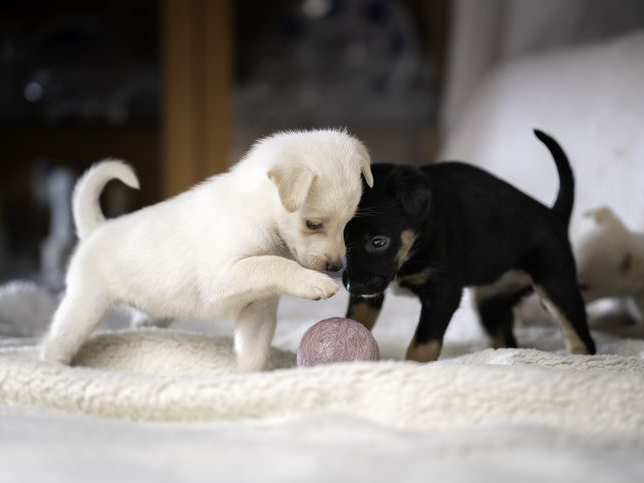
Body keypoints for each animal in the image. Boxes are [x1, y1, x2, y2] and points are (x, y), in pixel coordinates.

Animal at [40, 129, 372, 370]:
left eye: (347, 224)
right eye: (312, 224)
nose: (336, 268)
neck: (257, 211)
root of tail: (96, 230)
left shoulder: (258, 308)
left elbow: (253, 352)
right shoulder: (222, 277)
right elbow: (274, 264)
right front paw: (314, 282)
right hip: (85, 306)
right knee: (54, 343)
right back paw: (54, 369)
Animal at [344, 130, 596, 362]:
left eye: (379, 242)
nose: (352, 286)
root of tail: (554, 215)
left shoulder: (443, 292)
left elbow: (422, 344)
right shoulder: (367, 296)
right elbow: (355, 320)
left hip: (555, 283)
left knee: (581, 336)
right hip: (490, 304)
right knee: (507, 340)